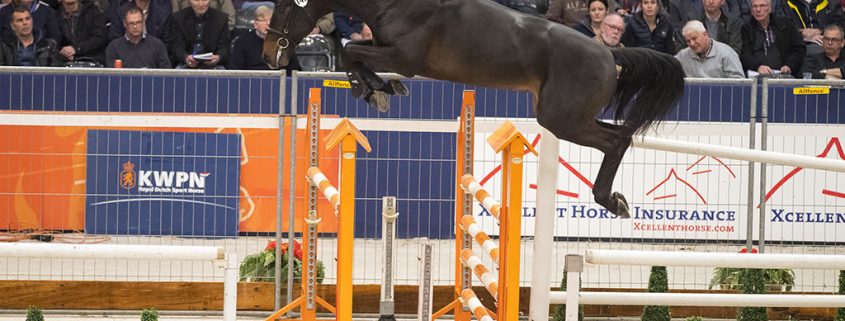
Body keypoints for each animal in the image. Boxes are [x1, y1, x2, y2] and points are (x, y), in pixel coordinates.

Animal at [262, 0, 684, 218]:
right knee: (619, 136)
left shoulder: (405, 57)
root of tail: (609, 53)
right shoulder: (385, 49)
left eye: (283, 9)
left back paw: (610, 200)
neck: (398, 4)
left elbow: (350, 51)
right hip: (569, 117)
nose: (268, 56)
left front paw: (375, 90)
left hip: (562, 119)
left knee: (617, 140)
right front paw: (377, 89)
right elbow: (351, 51)